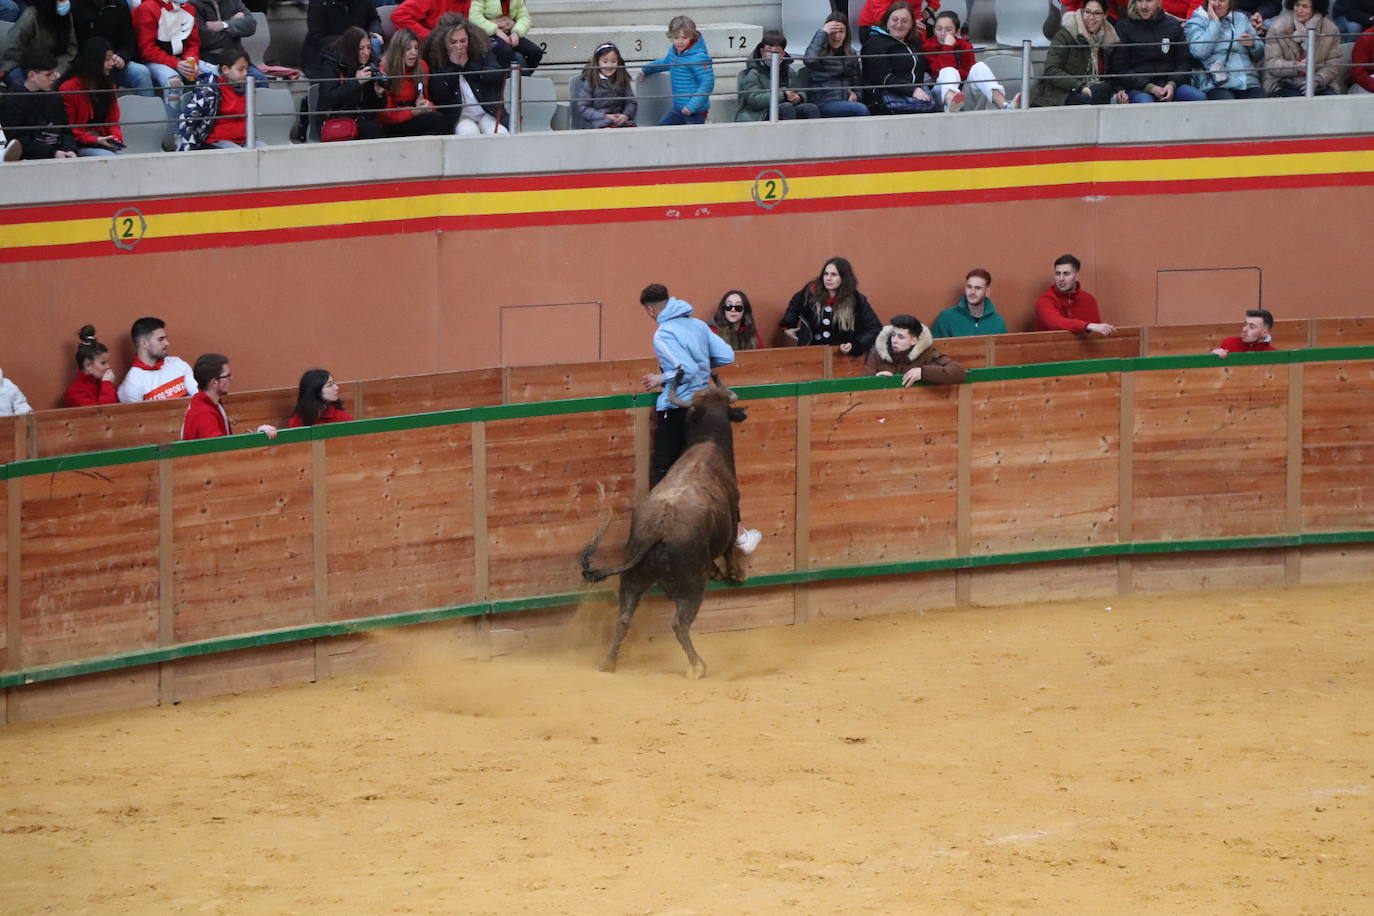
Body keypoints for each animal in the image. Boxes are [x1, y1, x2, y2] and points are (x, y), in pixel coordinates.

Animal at [579, 373, 752, 681]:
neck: (708, 443)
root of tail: (658, 529)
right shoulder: (733, 518)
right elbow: (730, 547)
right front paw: (736, 573)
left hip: (631, 581)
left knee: (624, 618)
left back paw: (608, 662)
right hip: (692, 586)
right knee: (679, 624)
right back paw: (697, 665)